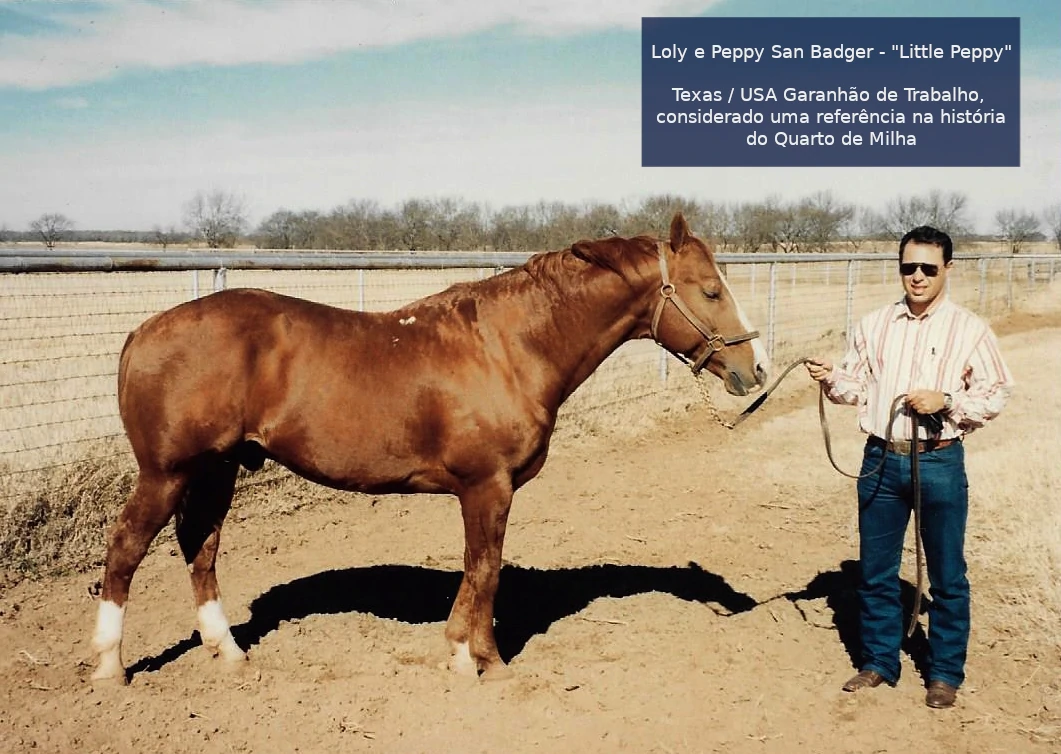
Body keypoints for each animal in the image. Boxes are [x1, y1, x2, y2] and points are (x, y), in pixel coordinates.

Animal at [89, 212, 772, 682]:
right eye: (711, 290)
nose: (757, 368)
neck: (509, 347)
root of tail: (143, 331)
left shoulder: (485, 491)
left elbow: (478, 570)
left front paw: (465, 652)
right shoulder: (487, 487)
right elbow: (486, 569)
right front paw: (480, 662)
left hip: (217, 469)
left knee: (200, 550)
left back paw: (227, 651)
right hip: (167, 473)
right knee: (125, 553)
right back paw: (109, 667)